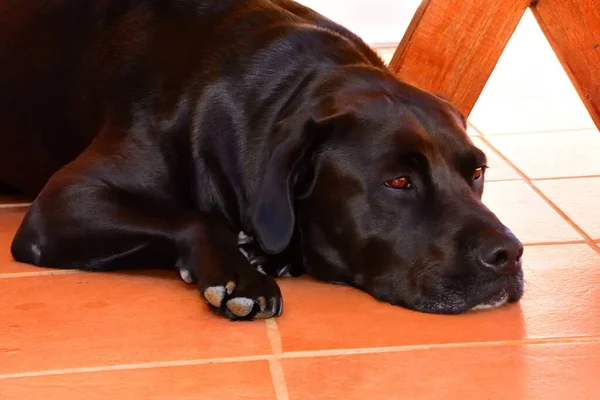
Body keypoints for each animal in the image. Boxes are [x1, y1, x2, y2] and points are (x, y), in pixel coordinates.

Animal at [1, 0, 524, 318]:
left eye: (477, 172)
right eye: (398, 182)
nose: (509, 254)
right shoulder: (66, 201)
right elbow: (197, 218)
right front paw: (238, 275)